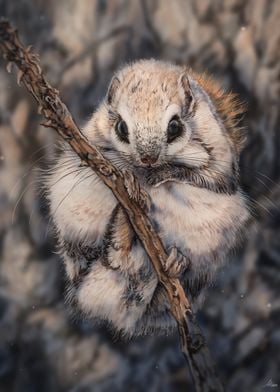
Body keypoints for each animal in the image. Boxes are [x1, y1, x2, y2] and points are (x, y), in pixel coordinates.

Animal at [46, 59, 249, 336]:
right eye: (121, 127)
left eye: (175, 126)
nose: (147, 159)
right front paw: (133, 182)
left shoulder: (221, 160)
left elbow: (205, 177)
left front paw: (158, 176)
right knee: (106, 258)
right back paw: (125, 224)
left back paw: (173, 262)